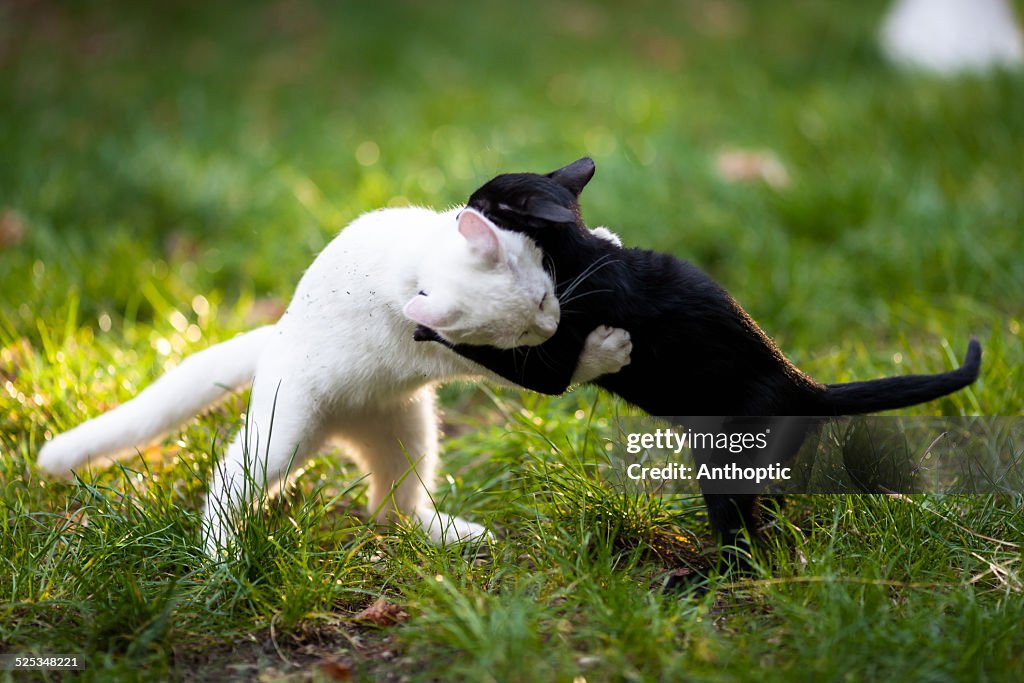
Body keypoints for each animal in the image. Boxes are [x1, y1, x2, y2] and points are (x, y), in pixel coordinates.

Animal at [37, 206, 630, 557]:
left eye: (543, 300)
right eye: (522, 331)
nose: (550, 326)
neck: (414, 264)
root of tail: (275, 336)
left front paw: (603, 234)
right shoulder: (483, 360)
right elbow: (563, 369)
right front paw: (607, 350)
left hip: (411, 434)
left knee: (392, 509)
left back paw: (447, 534)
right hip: (277, 438)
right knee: (227, 484)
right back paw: (222, 557)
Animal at [417, 157, 983, 565]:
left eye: (484, 203)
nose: (459, 209)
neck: (579, 252)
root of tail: (804, 384)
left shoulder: (555, 360)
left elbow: (497, 353)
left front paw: (428, 323)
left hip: (722, 459)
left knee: (741, 541)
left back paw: (702, 579)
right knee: (770, 517)